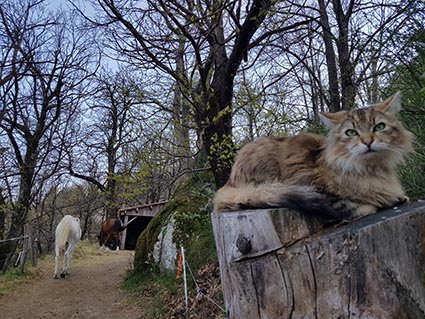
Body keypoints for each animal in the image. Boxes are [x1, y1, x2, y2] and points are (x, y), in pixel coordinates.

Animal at [214, 91, 412, 219]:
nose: (368, 141)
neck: (371, 170)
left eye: (379, 127)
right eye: (351, 133)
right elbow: (352, 205)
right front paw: (378, 203)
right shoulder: (313, 187)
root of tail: (229, 181)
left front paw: (399, 198)